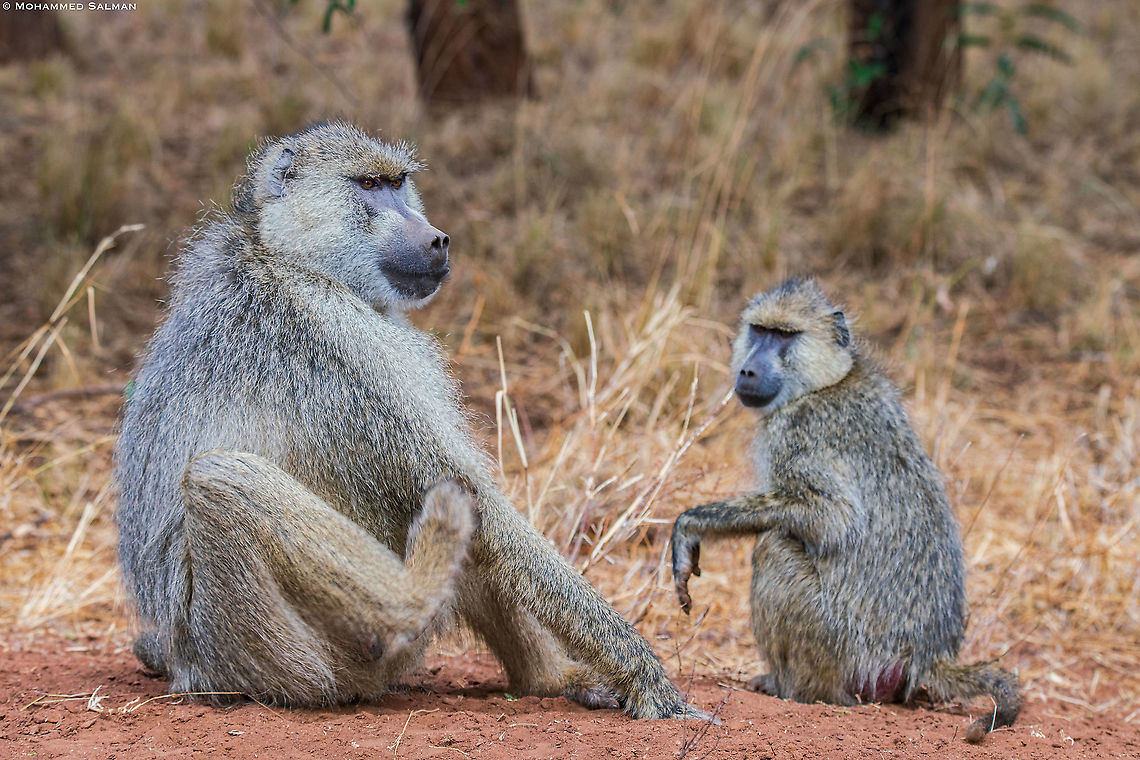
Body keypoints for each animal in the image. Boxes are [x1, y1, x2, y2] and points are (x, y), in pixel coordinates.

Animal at [114, 121, 702, 718]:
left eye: (398, 183)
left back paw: (547, 678)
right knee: (222, 479)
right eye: (369, 185)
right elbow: (476, 500)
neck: (287, 257)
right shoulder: (343, 340)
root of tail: (189, 668)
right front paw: (647, 676)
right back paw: (418, 591)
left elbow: (478, 504)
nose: (437, 238)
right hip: (269, 655)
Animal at [670, 277, 1021, 742]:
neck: (825, 383)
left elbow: (834, 517)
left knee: (774, 547)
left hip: (847, 650)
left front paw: (691, 524)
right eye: (759, 330)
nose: (746, 370)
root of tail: (927, 655)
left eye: (784, 336)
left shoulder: (798, 430)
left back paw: (792, 689)